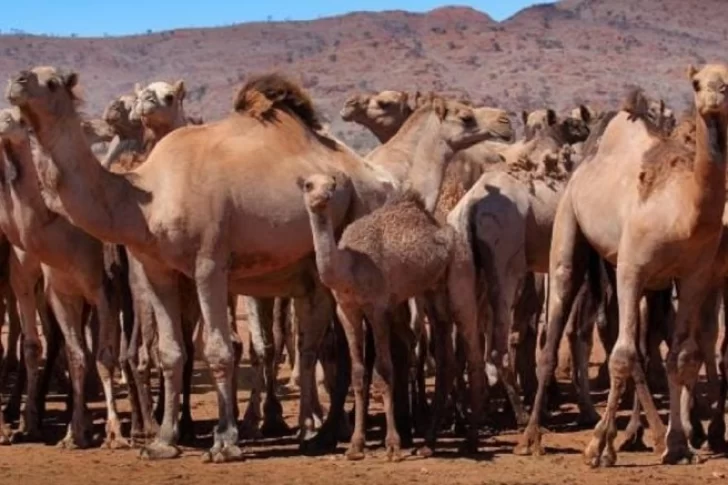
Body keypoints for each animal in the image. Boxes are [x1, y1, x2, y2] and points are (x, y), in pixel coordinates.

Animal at [0, 108, 127, 448]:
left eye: (16, 118)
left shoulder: (101, 291)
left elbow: (104, 355)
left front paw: (114, 432)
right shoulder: (49, 288)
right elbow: (71, 354)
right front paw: (72, 430)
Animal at [516, 63, 728, 466]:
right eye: (696, 83)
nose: (714, 95)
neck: (683, 210)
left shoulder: (696, 275)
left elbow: (680, 356)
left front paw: (680, 444)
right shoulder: (632, 269)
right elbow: (622, 355)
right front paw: (598, 446)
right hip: (570, 232)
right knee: (555, 336)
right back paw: (531, 437)